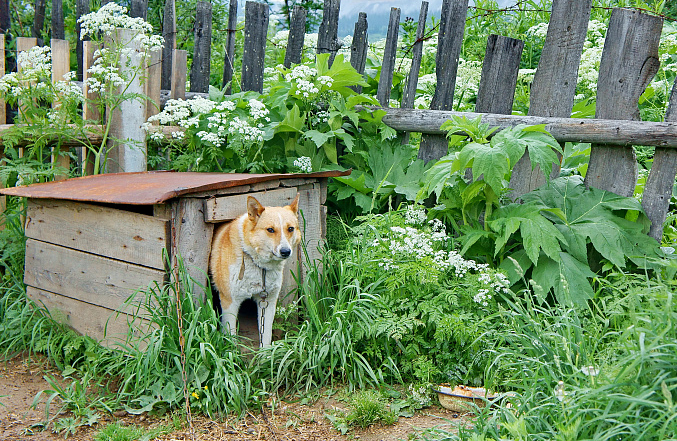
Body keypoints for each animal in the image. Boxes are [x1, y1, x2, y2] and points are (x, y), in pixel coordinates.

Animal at [209, 194, 298, 346]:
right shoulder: (229, 302)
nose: (286, 251)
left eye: (290, 229)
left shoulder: (268, 302)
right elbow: (231, 338)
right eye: (270, 230)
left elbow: (266, 337)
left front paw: (266, 353)